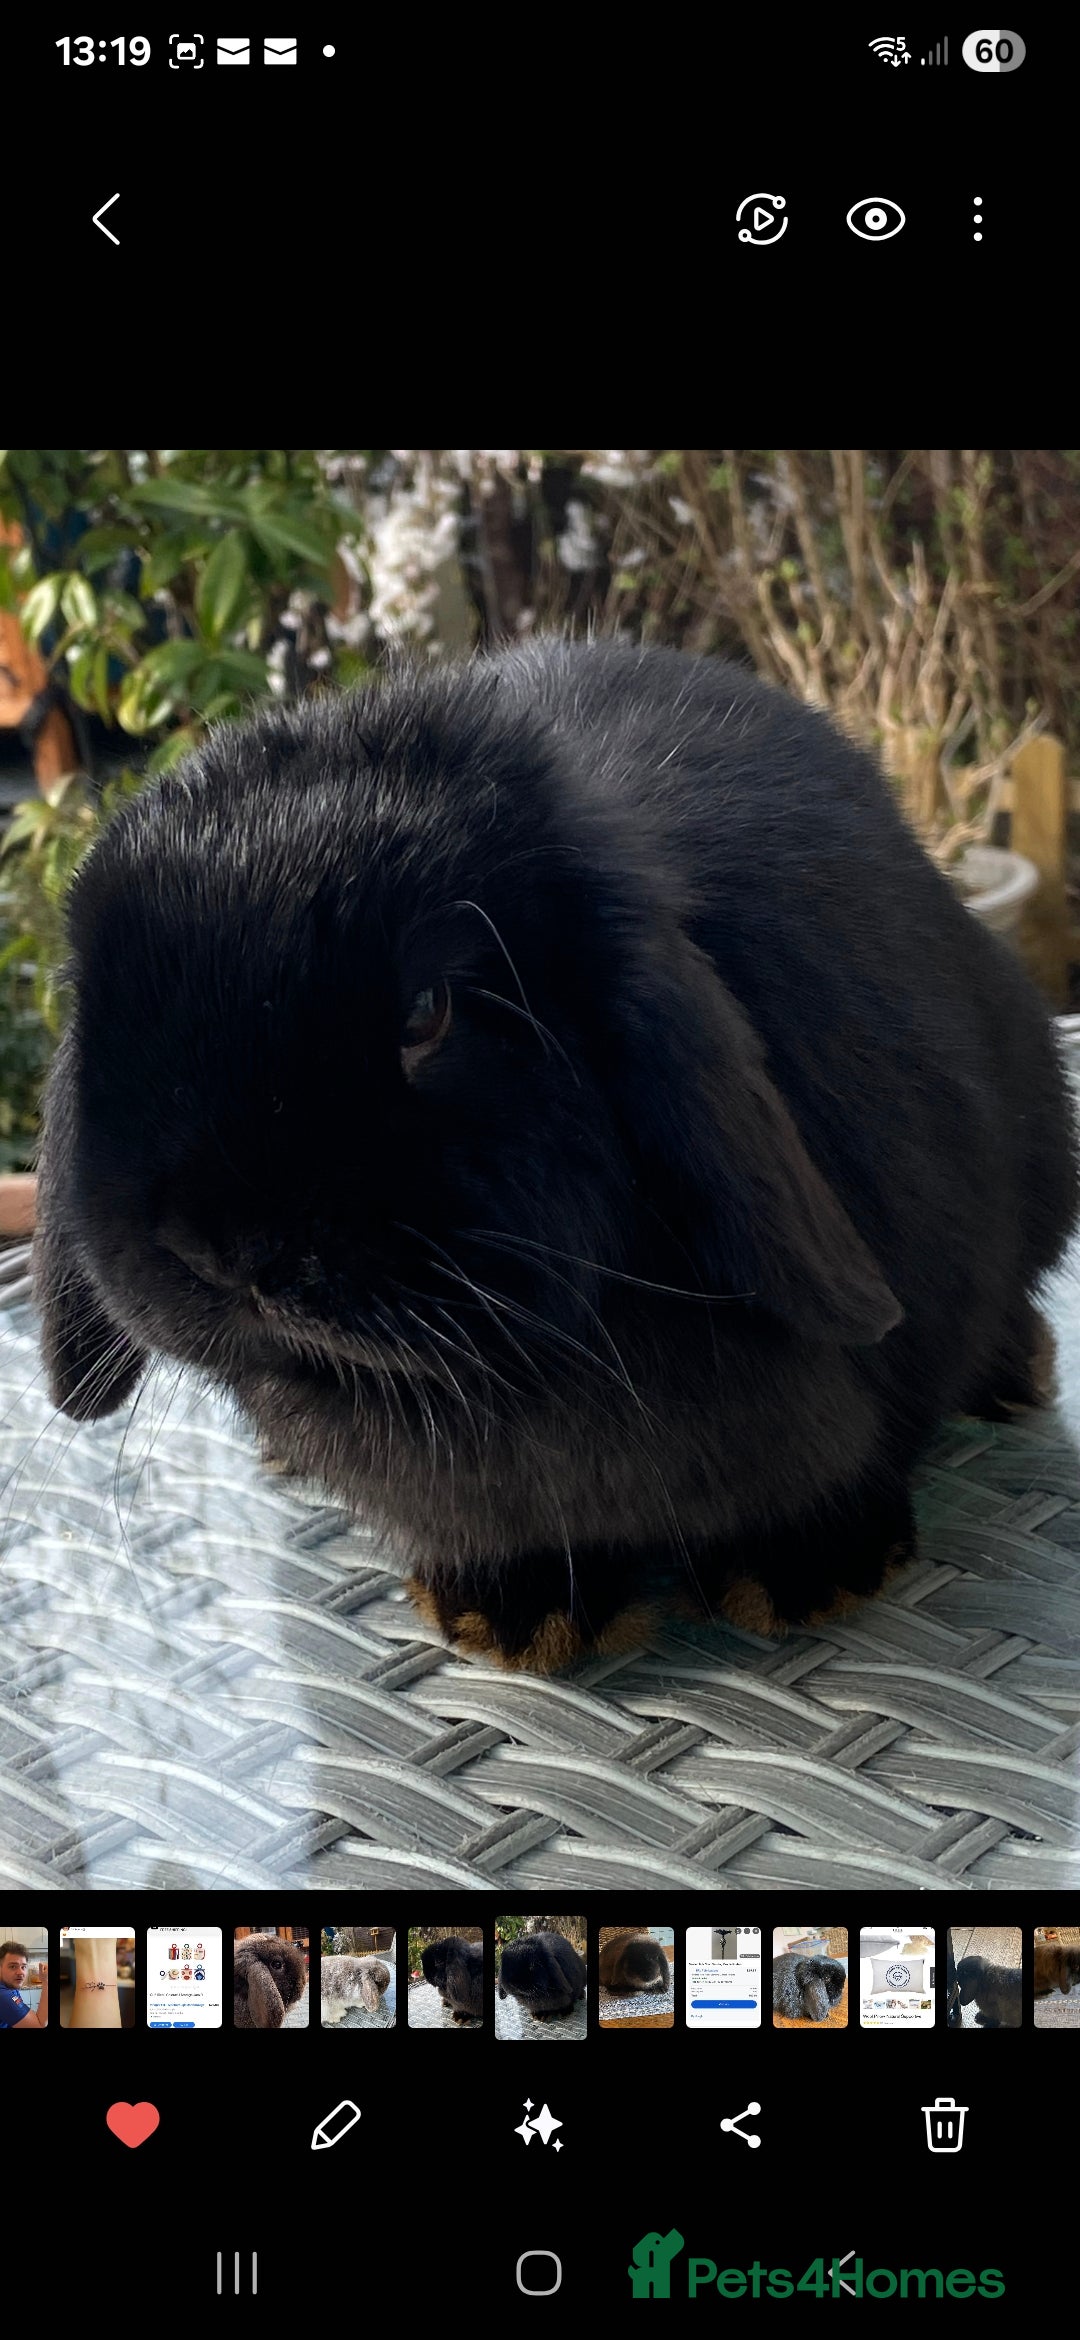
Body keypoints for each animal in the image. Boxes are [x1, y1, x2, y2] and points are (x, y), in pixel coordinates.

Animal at [31, 637, 1079, 1672]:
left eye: (428, 1012)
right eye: (104, 1012)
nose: (223, 1248)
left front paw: (807, 1574)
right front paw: (513, 1612)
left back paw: (1012, 1377)